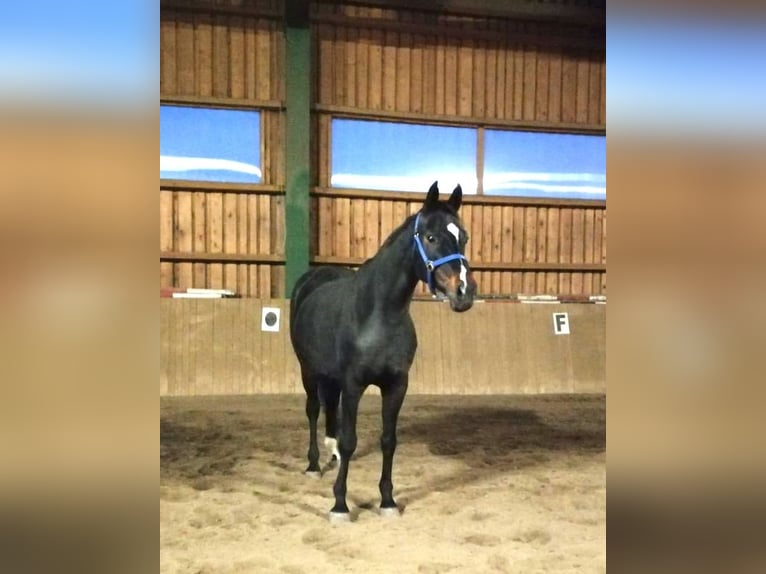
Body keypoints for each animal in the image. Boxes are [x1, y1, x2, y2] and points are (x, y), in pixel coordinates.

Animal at [289, 181, 477, 522]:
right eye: (430, 237)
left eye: (464, 237)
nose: (464, 293)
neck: (379, 314)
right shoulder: (353, 384)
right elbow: (350, 441)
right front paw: (340, 504)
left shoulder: (396, 385)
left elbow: (388, 441)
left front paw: (387, 501)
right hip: (307, 370)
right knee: (313, 410)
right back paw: (313, 465)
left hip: (331, 377)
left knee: (330, 410)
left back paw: (331, 457)